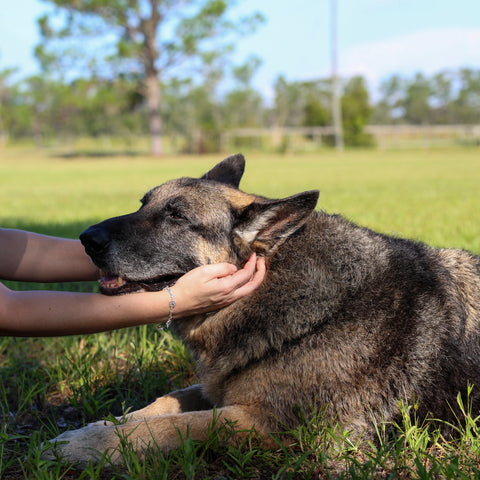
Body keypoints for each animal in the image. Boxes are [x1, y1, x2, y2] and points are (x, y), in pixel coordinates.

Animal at [43, 154, 480, 464]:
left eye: (177, 216)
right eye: (143, 204)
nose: (86, 239)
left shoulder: (269, 424)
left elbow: (174, 427)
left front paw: (90, 444)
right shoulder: (217, 387)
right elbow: (163, 403)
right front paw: (100, 426)